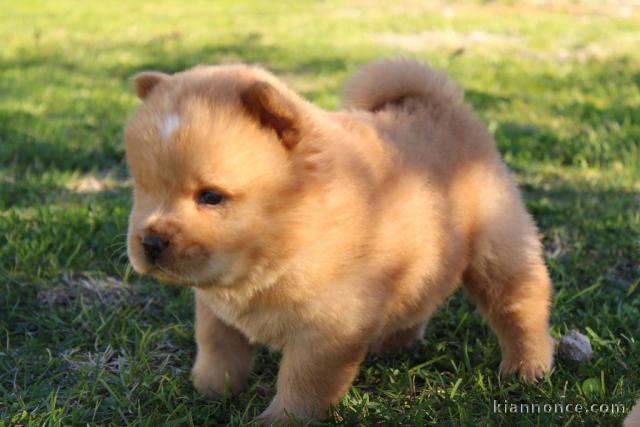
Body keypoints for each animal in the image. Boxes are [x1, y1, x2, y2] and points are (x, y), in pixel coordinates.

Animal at [125, 58, 556, 422]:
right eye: (143, 188)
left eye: (211, 197)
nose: (150, 242)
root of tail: (438, 104)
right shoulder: (217, 309)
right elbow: (217, 349)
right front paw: (207, 392)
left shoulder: (327, 329)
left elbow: (303, 384)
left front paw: (279, 421)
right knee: (420, 297)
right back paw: (393, 343)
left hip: (497, 251)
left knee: (520, 306)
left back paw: (527, 368)